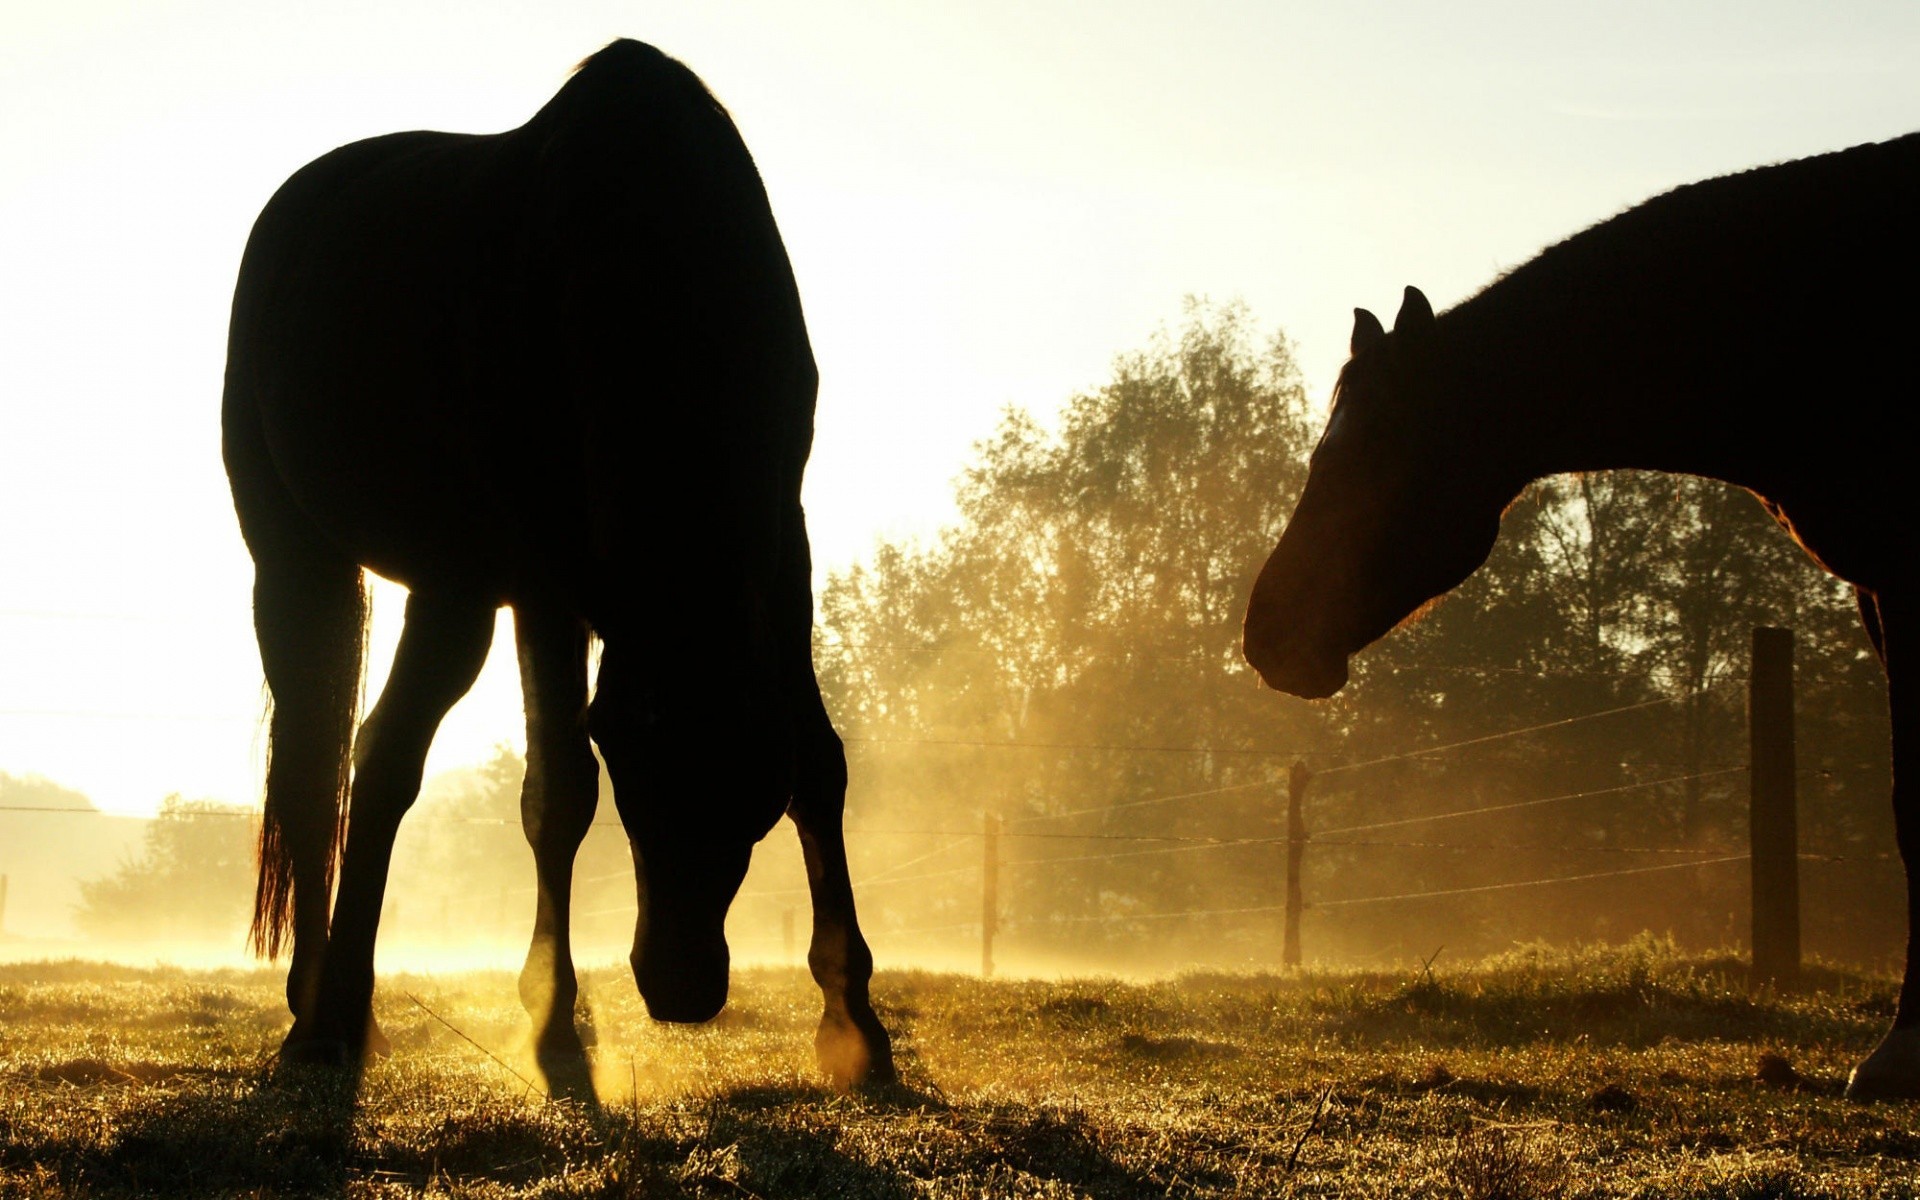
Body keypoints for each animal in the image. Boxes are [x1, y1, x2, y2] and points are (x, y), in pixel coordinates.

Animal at [220, 37, 894, 1082]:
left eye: (752, 793)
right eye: (640, 777)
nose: (682, 988)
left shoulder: (775, 551)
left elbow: (811, 764)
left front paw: (852, 1020)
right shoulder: (505, 584)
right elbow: (492, 781)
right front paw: (523, 1019)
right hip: (300, 560)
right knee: (320, 769)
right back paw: (321, 1010)